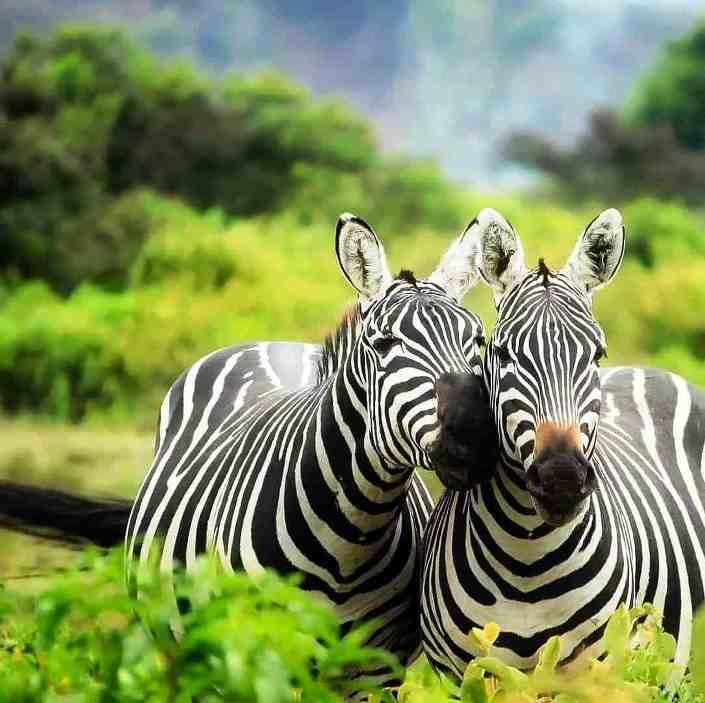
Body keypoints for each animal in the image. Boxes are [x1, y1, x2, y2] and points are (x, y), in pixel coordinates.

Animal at [0, 213, 498, 683]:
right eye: (385, 343)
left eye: (478, 340)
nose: (475, 437)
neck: (351, 536)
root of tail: (274, 344)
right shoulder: (258, 657)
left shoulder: (375, 670)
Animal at [420, 207, 705, 677]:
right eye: (502, 354)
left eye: (597, 354)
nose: (561, 480)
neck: (527, 559)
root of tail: (653, 371)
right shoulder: (461, 673)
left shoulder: (595, 672)